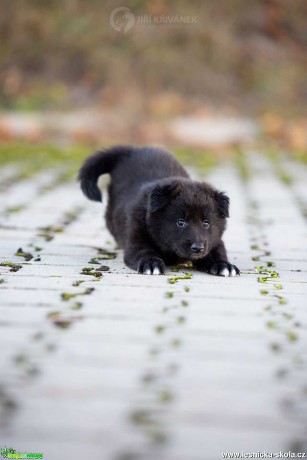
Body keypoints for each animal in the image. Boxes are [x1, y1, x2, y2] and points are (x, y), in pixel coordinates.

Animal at [77, 146, 241, 276]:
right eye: (180, 222)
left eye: (206, 223)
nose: (198, 248)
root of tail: (132, 150)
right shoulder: (136, 238)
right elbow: (144, 251)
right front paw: (151, 263)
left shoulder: (215, 240)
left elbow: (217, 252)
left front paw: (224, 265)